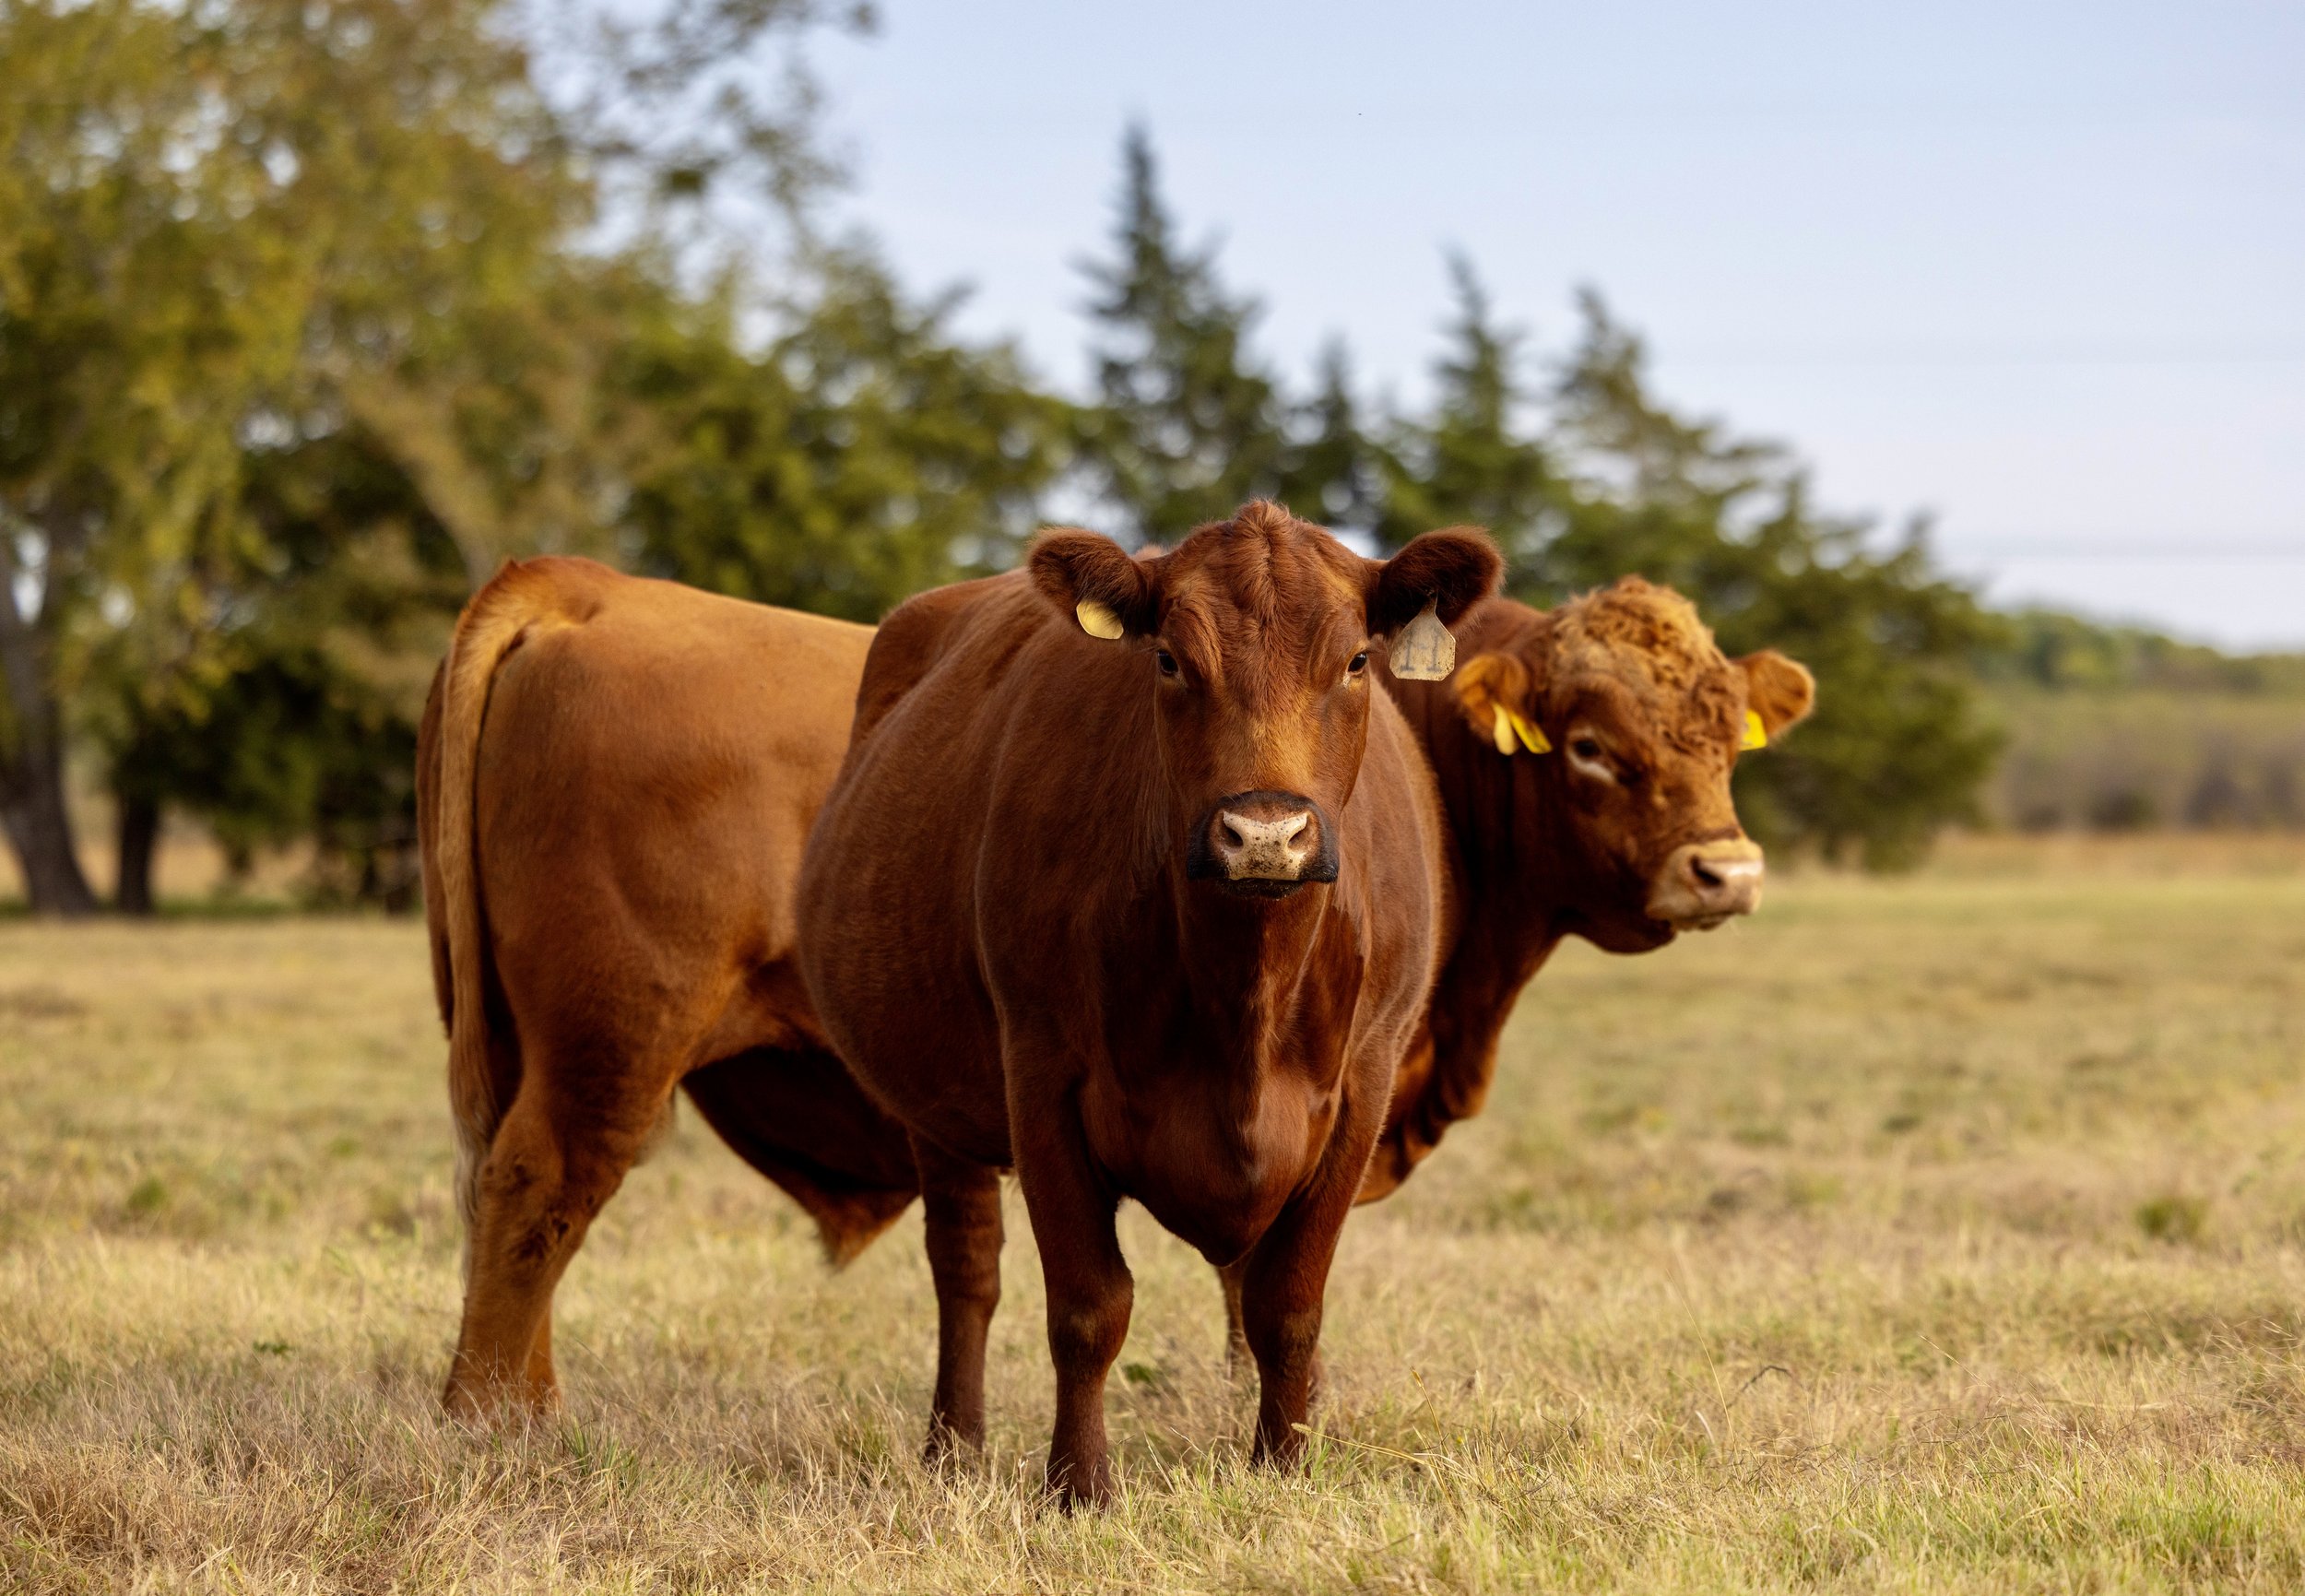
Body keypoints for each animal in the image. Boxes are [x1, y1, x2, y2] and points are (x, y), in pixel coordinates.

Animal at [793, 503, 1503, 1503]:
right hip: (934, 1104)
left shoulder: (1359, 1093)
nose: (1265, 836)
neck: (1243, 994)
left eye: (1357, 659)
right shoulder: (1041, 1079)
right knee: (966, 1271)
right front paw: (1078, 1485)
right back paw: (953, 1445)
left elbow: (1289, 1302)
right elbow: (1090, 1306)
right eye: (1169, 659)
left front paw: (1283, 1463)